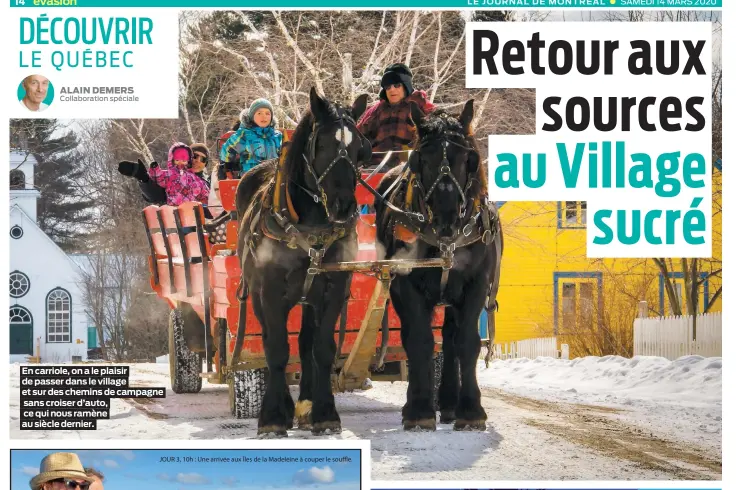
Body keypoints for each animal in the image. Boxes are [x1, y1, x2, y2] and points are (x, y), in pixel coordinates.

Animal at [236, 88, 370, 436]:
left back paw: (306, 404)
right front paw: (273, 416)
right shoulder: (270, 292)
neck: (311, 227)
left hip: (310, 296)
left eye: (359, 149)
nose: (345, 206)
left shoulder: (334, 288)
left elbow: (321, 349)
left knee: (307, 342)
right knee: (273, 341)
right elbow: (277, 349)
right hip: (258, 294)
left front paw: (324, 413)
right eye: (321, 145)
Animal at [376, 101, 504, 430]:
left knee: (449, 339)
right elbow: (419, 340)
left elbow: (467, 342)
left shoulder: (476, 283)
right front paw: (418, 409)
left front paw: (471, 410)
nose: (447, 217)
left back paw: (448, 403)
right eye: (422, 157)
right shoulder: (405, 284)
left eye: (468, 158)